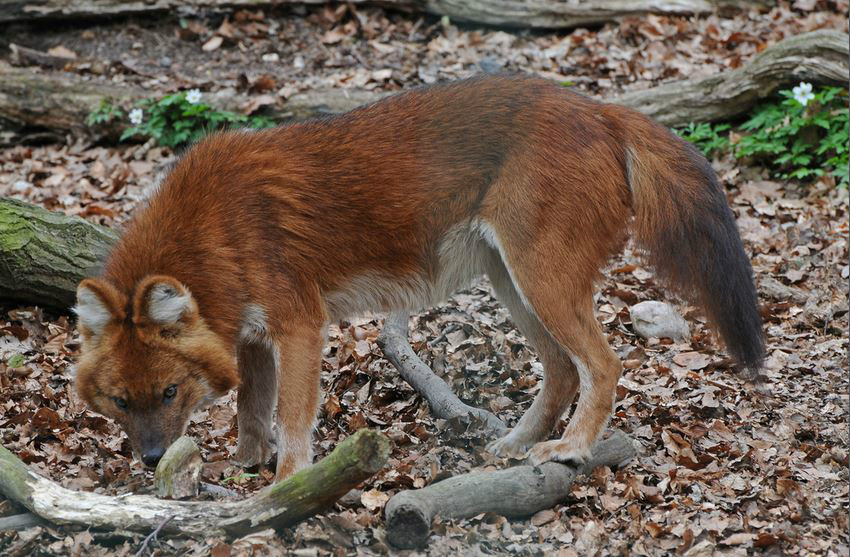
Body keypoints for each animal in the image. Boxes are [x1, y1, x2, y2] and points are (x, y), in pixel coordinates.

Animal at [73, 76, 760, 480]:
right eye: (121, 402)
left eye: (170, 392)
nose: (152, 460)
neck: (213, 226)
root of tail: (603, 108)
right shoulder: (250, 335)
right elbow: (250, 408)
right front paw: (242, 471)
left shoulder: (299, 324)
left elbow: (291, 418)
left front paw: (286, 487)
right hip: (512, 281)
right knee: (563, 370)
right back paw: (514, 445)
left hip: (540, 278)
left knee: (605, 363)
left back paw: (571, 448)